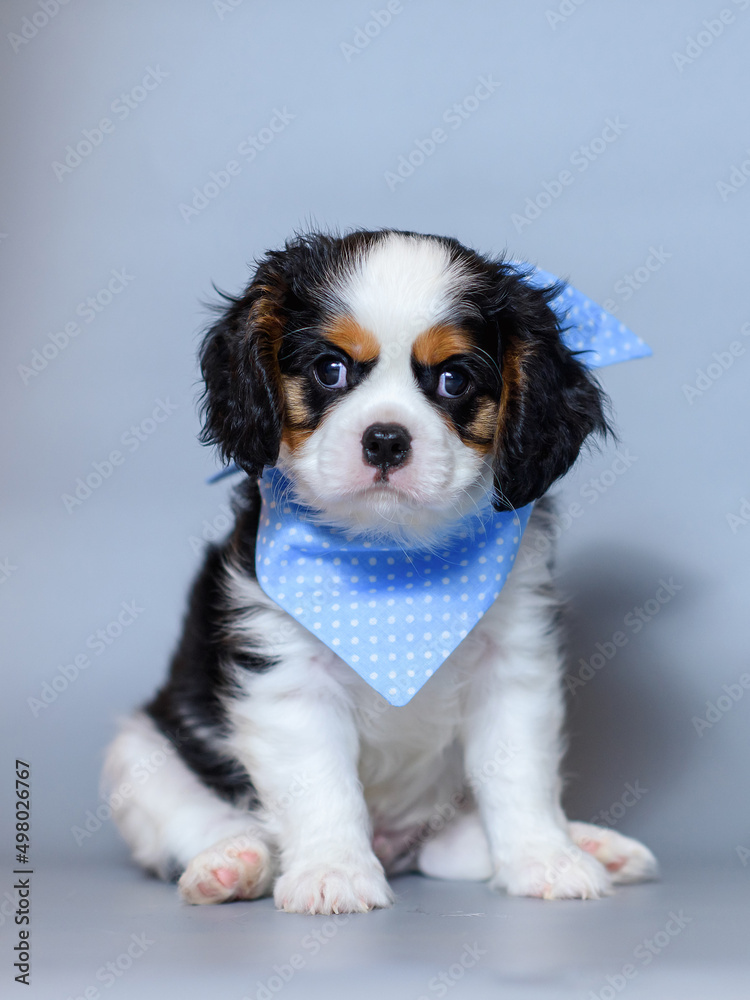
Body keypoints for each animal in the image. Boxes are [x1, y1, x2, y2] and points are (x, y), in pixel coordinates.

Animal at [101, 229, 656, 916]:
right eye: (330, 369)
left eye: (453, 379)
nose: (386, 439)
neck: (392, 560)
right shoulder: (289, 678)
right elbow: (320, 785)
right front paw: (332, 870)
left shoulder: (513, 666)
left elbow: (519, 774)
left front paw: (545, 858)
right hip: (139, 749)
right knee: (198, 817)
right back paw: (232, 863)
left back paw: (589, 844)